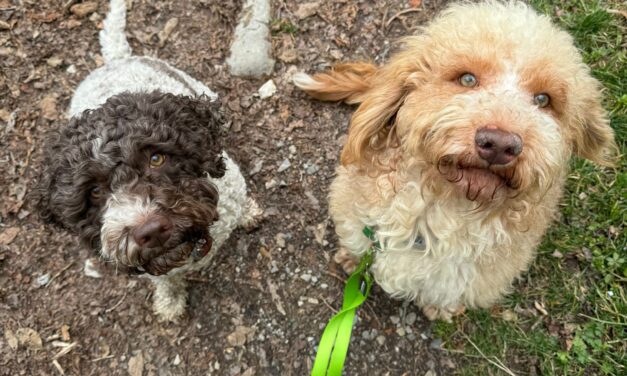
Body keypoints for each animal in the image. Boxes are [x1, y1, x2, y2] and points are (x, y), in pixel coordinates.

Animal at [296, 0, 620, 320]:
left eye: (543, 100)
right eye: (466, 78)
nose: (499, 144)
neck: (442, 210)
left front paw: (438, 309)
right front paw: (351, 259)